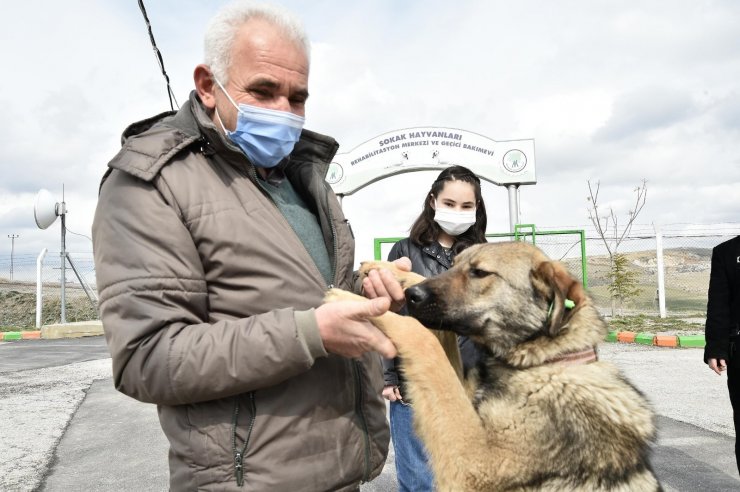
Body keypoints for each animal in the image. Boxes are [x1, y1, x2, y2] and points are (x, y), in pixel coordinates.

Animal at [326, 240, 660, 490]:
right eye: (454, 265)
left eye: (479, 273)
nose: (411, 296)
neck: (543, 362)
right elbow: (437, 339)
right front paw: (386, 270)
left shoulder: (473, 462)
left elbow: (425, 341)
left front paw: (352, 302)